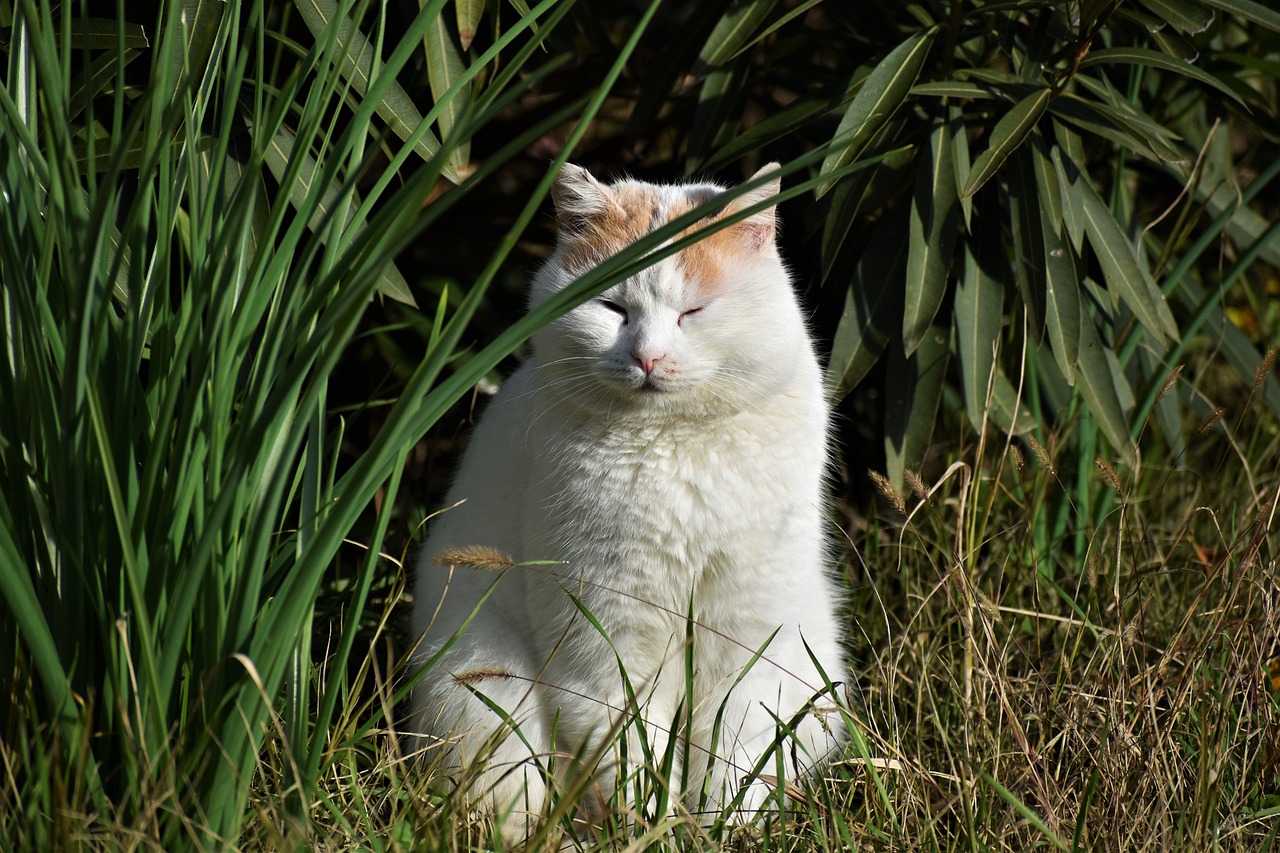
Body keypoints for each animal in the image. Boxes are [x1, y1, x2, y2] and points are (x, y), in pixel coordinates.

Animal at [412, 161, 849, 835]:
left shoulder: (747, 634)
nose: (649, 356)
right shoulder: (609, 638)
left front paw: (719, 831)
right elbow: (629, 754)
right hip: (483, 691)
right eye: (612, 307)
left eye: (693, 311)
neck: (674, 445)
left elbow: (732, 757)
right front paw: (647, 832)